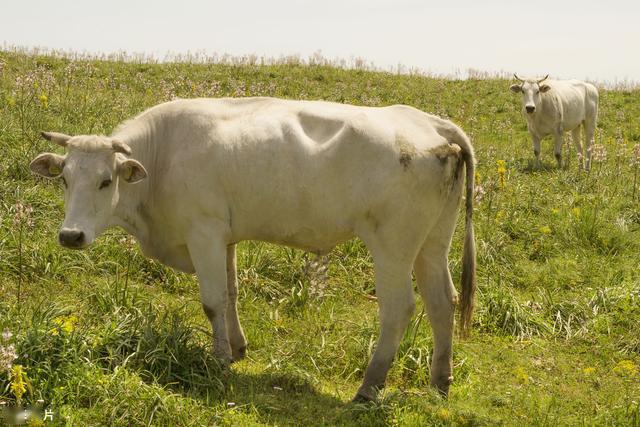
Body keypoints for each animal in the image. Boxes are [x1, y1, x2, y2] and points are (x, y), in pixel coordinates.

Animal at [28, 97, 476, 402]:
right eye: (65, 178)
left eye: (106, 181)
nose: (70, 236)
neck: (163, 156)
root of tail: (430, 122)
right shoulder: (224, 238)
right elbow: (231, 294)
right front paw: (237, 347)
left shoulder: (204, 232)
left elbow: (212, 301)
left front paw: (218, 360)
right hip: (433, 243)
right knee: (443, 302)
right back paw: (440, 381)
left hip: (392, 247)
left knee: (399, 309)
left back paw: (369, 387)